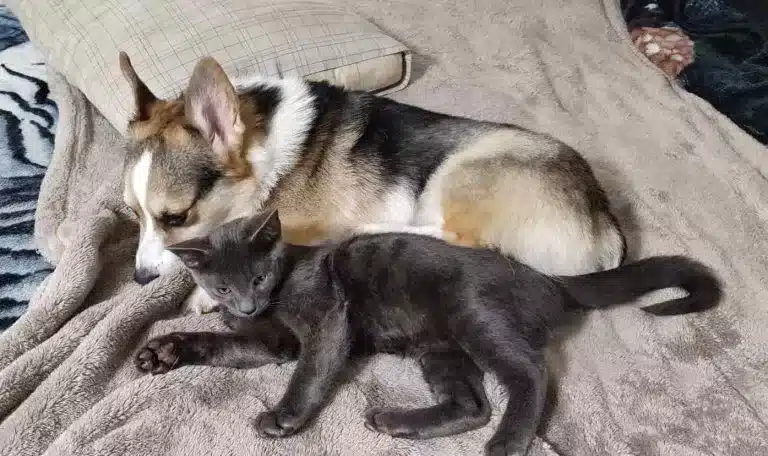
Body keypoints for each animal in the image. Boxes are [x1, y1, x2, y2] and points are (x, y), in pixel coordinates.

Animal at [120, 52, 624, 310]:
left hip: (456, 171)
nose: (139, 280)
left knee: (463, 239)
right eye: (132, 213)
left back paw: (368, 230)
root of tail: (605, 225)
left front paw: (201, 294)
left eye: (178, 216)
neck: (261, 154)